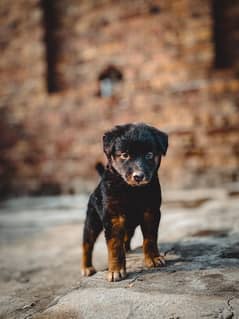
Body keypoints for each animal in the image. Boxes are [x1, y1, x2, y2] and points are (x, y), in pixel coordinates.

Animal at [81, 123, 168, 282]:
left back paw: (127, 250)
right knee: (87, 244)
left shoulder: (151, 211)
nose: (138, 176)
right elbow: (114, 246)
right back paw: (87, 267)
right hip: (92, 220)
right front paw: (116, 270)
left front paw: (153, 258)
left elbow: (150, 238)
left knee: (126, 238)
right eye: (125, 155)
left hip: (129, 226)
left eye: (149, 155)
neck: (132, 190)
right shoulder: (113, 217)